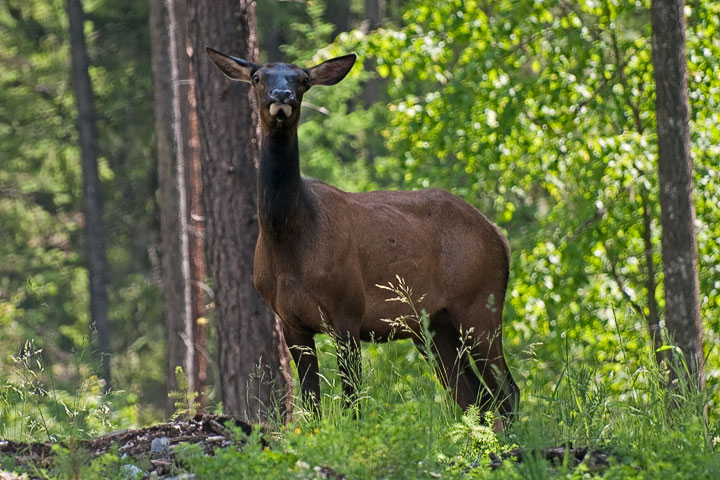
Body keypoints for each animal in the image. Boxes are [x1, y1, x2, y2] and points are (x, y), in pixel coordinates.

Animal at [205, 47, 520, 422]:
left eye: (303, 79)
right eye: (258, 77)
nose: (282, 96)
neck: (291, 243)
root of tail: (500, 238)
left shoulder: (348, 309)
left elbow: (352, 400)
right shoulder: (290, 321)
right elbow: (312, 403)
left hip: (480, 304)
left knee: (507, 391)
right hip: (435, 327)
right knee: (475, 397)